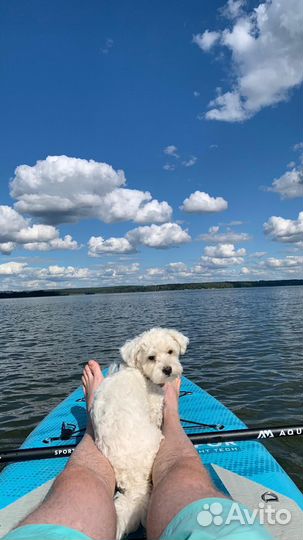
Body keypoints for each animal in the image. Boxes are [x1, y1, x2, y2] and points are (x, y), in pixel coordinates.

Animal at [91, 326, 189, 536]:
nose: (167, 369)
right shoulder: (154, 408)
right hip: (155, 440)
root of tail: (133, 479)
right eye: (151, 357)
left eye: (170, 351)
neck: (138, 371)